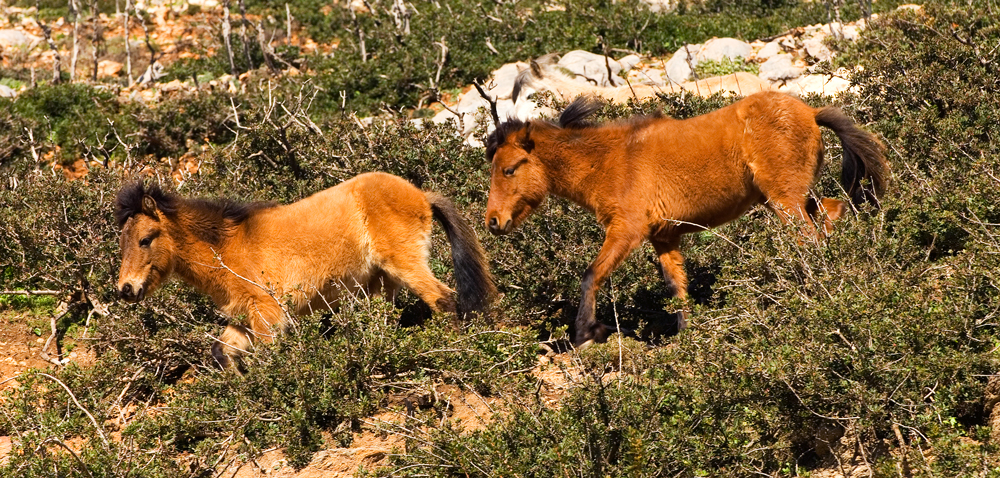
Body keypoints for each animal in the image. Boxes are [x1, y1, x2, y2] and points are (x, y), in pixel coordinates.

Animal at [117, 172, 496, 366]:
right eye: (123, 241)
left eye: (146, 240)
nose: (125, 289)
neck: (229, 247)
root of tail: (421, 196)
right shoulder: (246, 318)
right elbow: (222, 351)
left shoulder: (268, 315)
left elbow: (269, 356)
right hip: (381, 282)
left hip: (405, 264)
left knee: (443, 299)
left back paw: (453, 352)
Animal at [482, 90, 884, 344]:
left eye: (508, 169)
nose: (493, 222)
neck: (610, 162)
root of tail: (810, 113)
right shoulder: (664, 237)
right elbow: (677, 288)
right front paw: (686, 337)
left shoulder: (626, 230)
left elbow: (591, 275)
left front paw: (585, 333)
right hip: (788, 197)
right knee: (831, 212)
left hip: (785, 199)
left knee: (808, 238)